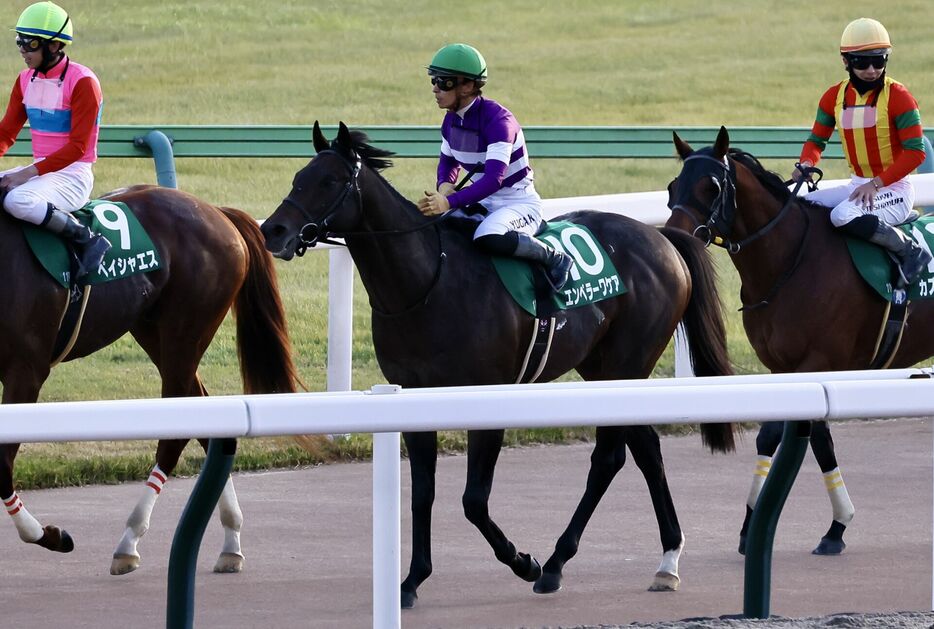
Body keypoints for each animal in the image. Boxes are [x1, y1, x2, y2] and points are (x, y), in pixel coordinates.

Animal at [0, 183, 300, 576]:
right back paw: (231, 541)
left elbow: (1, 464)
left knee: (176, 434)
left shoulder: (26, 371)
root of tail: (216, 212)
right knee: (208, 421)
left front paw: (49, 534)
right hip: (151, 329)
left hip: (184, 333)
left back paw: (129, 542)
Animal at [262, 122, 740, 608]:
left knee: (610, 457)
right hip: (603, 366)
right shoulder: (412, 397)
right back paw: (655, 558)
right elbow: (422, 494)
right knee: (643, 450)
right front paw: (411, 581)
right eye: (299, 176)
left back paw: (565, 563)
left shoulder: (487, 400)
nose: (273, 230)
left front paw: (523, 561)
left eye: (331, 181)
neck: (428, 281)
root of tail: (664, 240)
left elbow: (474, 500)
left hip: (628, 361)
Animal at [664, 126, 934, 556]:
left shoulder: (820, 362)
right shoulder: (784, 369)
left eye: (711, 186)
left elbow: (792, 434)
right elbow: (798, 438)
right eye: (674, 185)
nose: (673, 235)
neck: (791, 260)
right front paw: (770, 526)